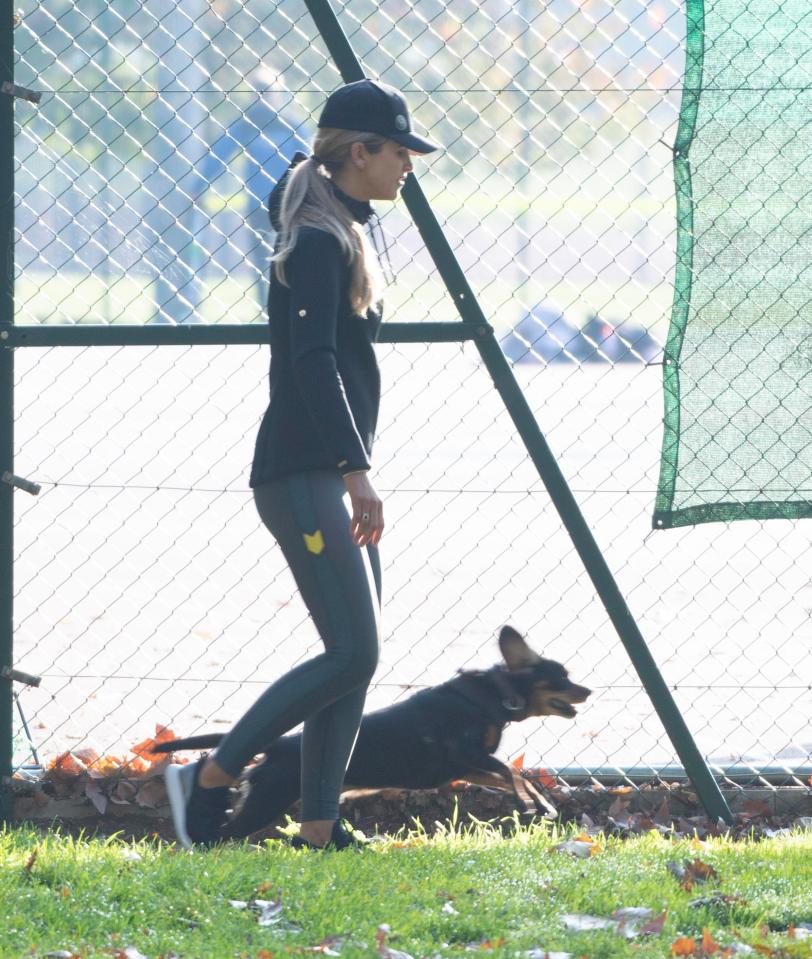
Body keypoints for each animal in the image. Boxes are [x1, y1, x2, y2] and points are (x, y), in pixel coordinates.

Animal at [154, 628, 588, 836]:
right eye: (563, 677)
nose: (588, 691)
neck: (495, 695)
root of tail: (279, 744)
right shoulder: (467, 755)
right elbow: (512, 771)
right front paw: (530, 803)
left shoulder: (465, 768)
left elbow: (516, 776)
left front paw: (539, 804)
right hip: (268, 799)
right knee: (227, 833)